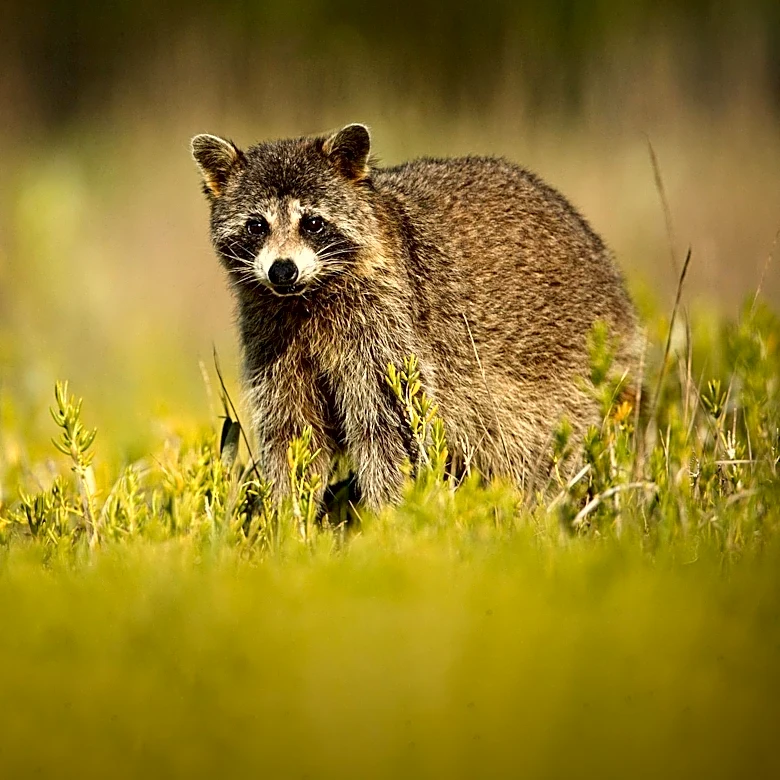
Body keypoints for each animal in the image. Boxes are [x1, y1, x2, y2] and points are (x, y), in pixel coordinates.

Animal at [192, 123, 639, 509]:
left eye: (313, 223)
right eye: (256, 226)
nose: (282, 271)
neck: (305, 299)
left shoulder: (388, 326)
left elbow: (392, 431)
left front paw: (390, 518)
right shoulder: (274, 338)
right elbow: (292, 432)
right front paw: (287, 515)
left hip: (578, 377)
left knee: (542, 455)